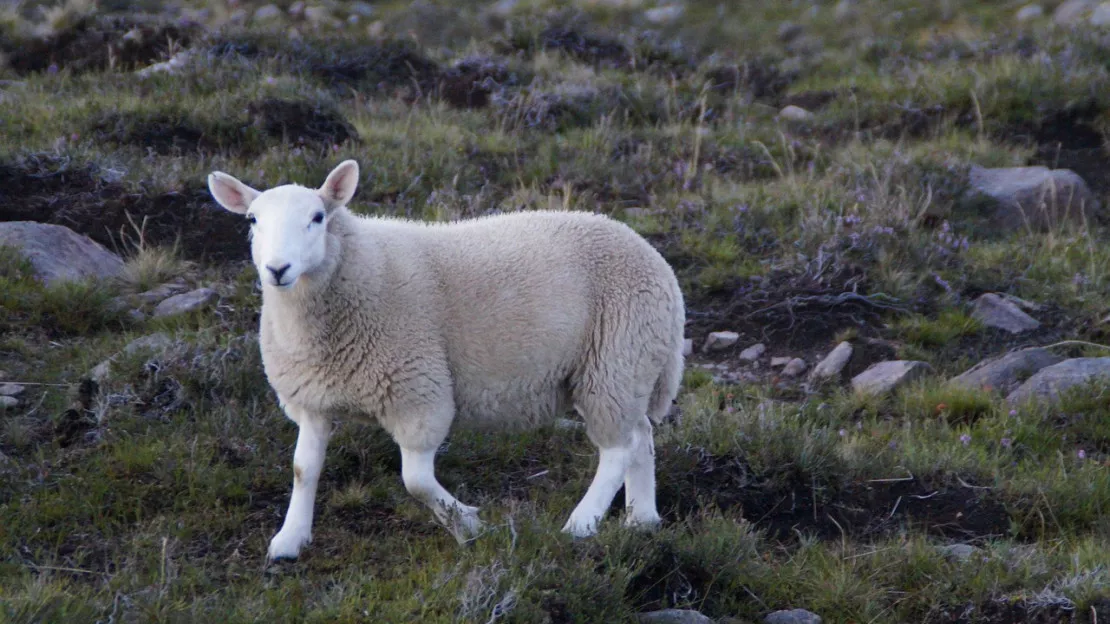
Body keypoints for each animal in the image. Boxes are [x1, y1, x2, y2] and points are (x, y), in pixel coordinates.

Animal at [204, 159, 679, 559]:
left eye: (318, 218)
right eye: (252, 220)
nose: (277, 269)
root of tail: (654, 258)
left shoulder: (417, 391)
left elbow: (415, 481)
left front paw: (468, 524)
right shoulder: (313, 399)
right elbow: (304, 468)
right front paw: (290, 539)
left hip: (616, 358)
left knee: (618, 448)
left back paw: (582, 523)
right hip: (626, 364)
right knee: (640, 435)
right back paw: (642, 519)